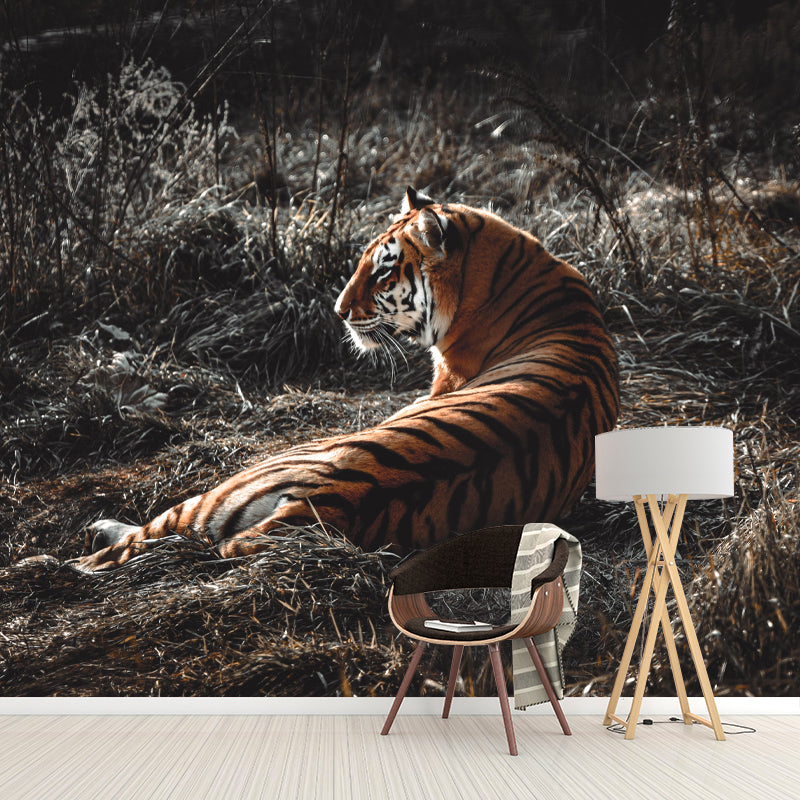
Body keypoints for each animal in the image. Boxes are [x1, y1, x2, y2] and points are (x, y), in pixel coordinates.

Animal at [70, 187, 619, 571]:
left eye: (382, 273)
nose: (337, 311)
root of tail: (328, 500)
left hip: (227, 487)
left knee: (118, 552)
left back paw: (77, 549)